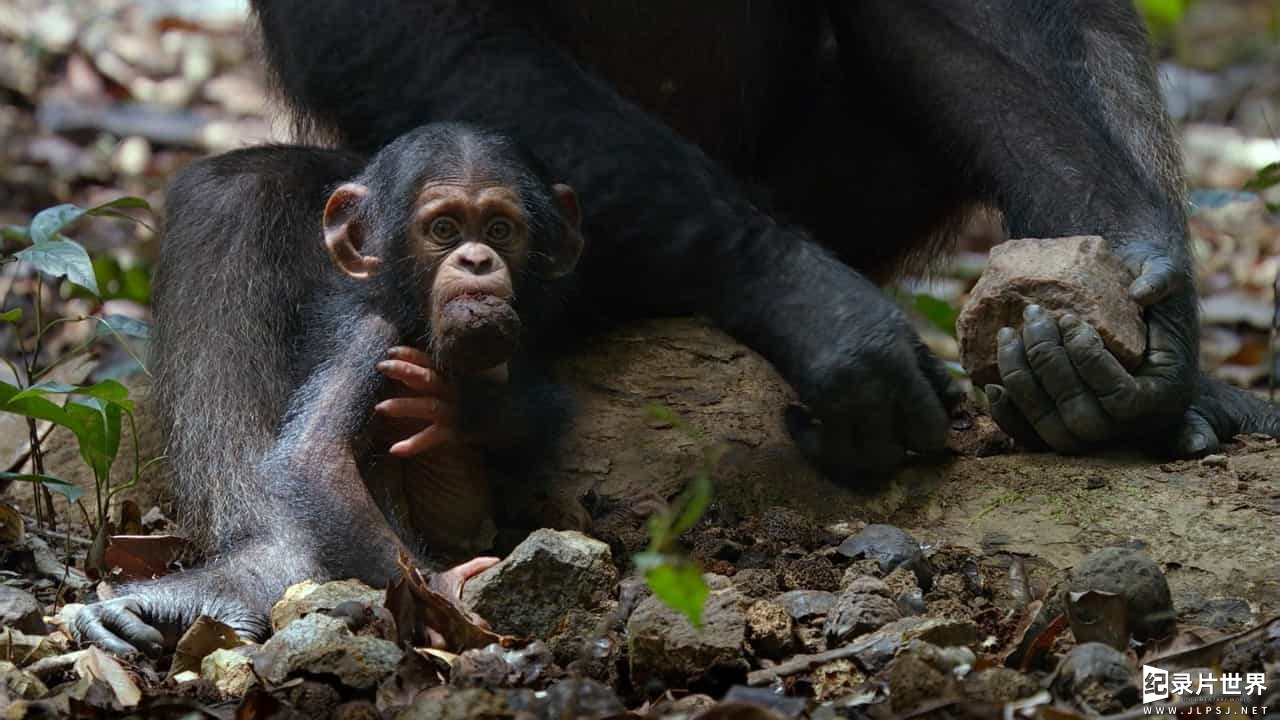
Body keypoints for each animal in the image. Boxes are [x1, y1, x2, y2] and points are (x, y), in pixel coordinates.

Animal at [74, 124, 586, 655]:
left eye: (499, 230)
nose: (477, 259)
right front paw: (440, 593)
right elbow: (315, 457)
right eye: (444, 229)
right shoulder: (368, 335)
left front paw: (459, 406)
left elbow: (536, 418)